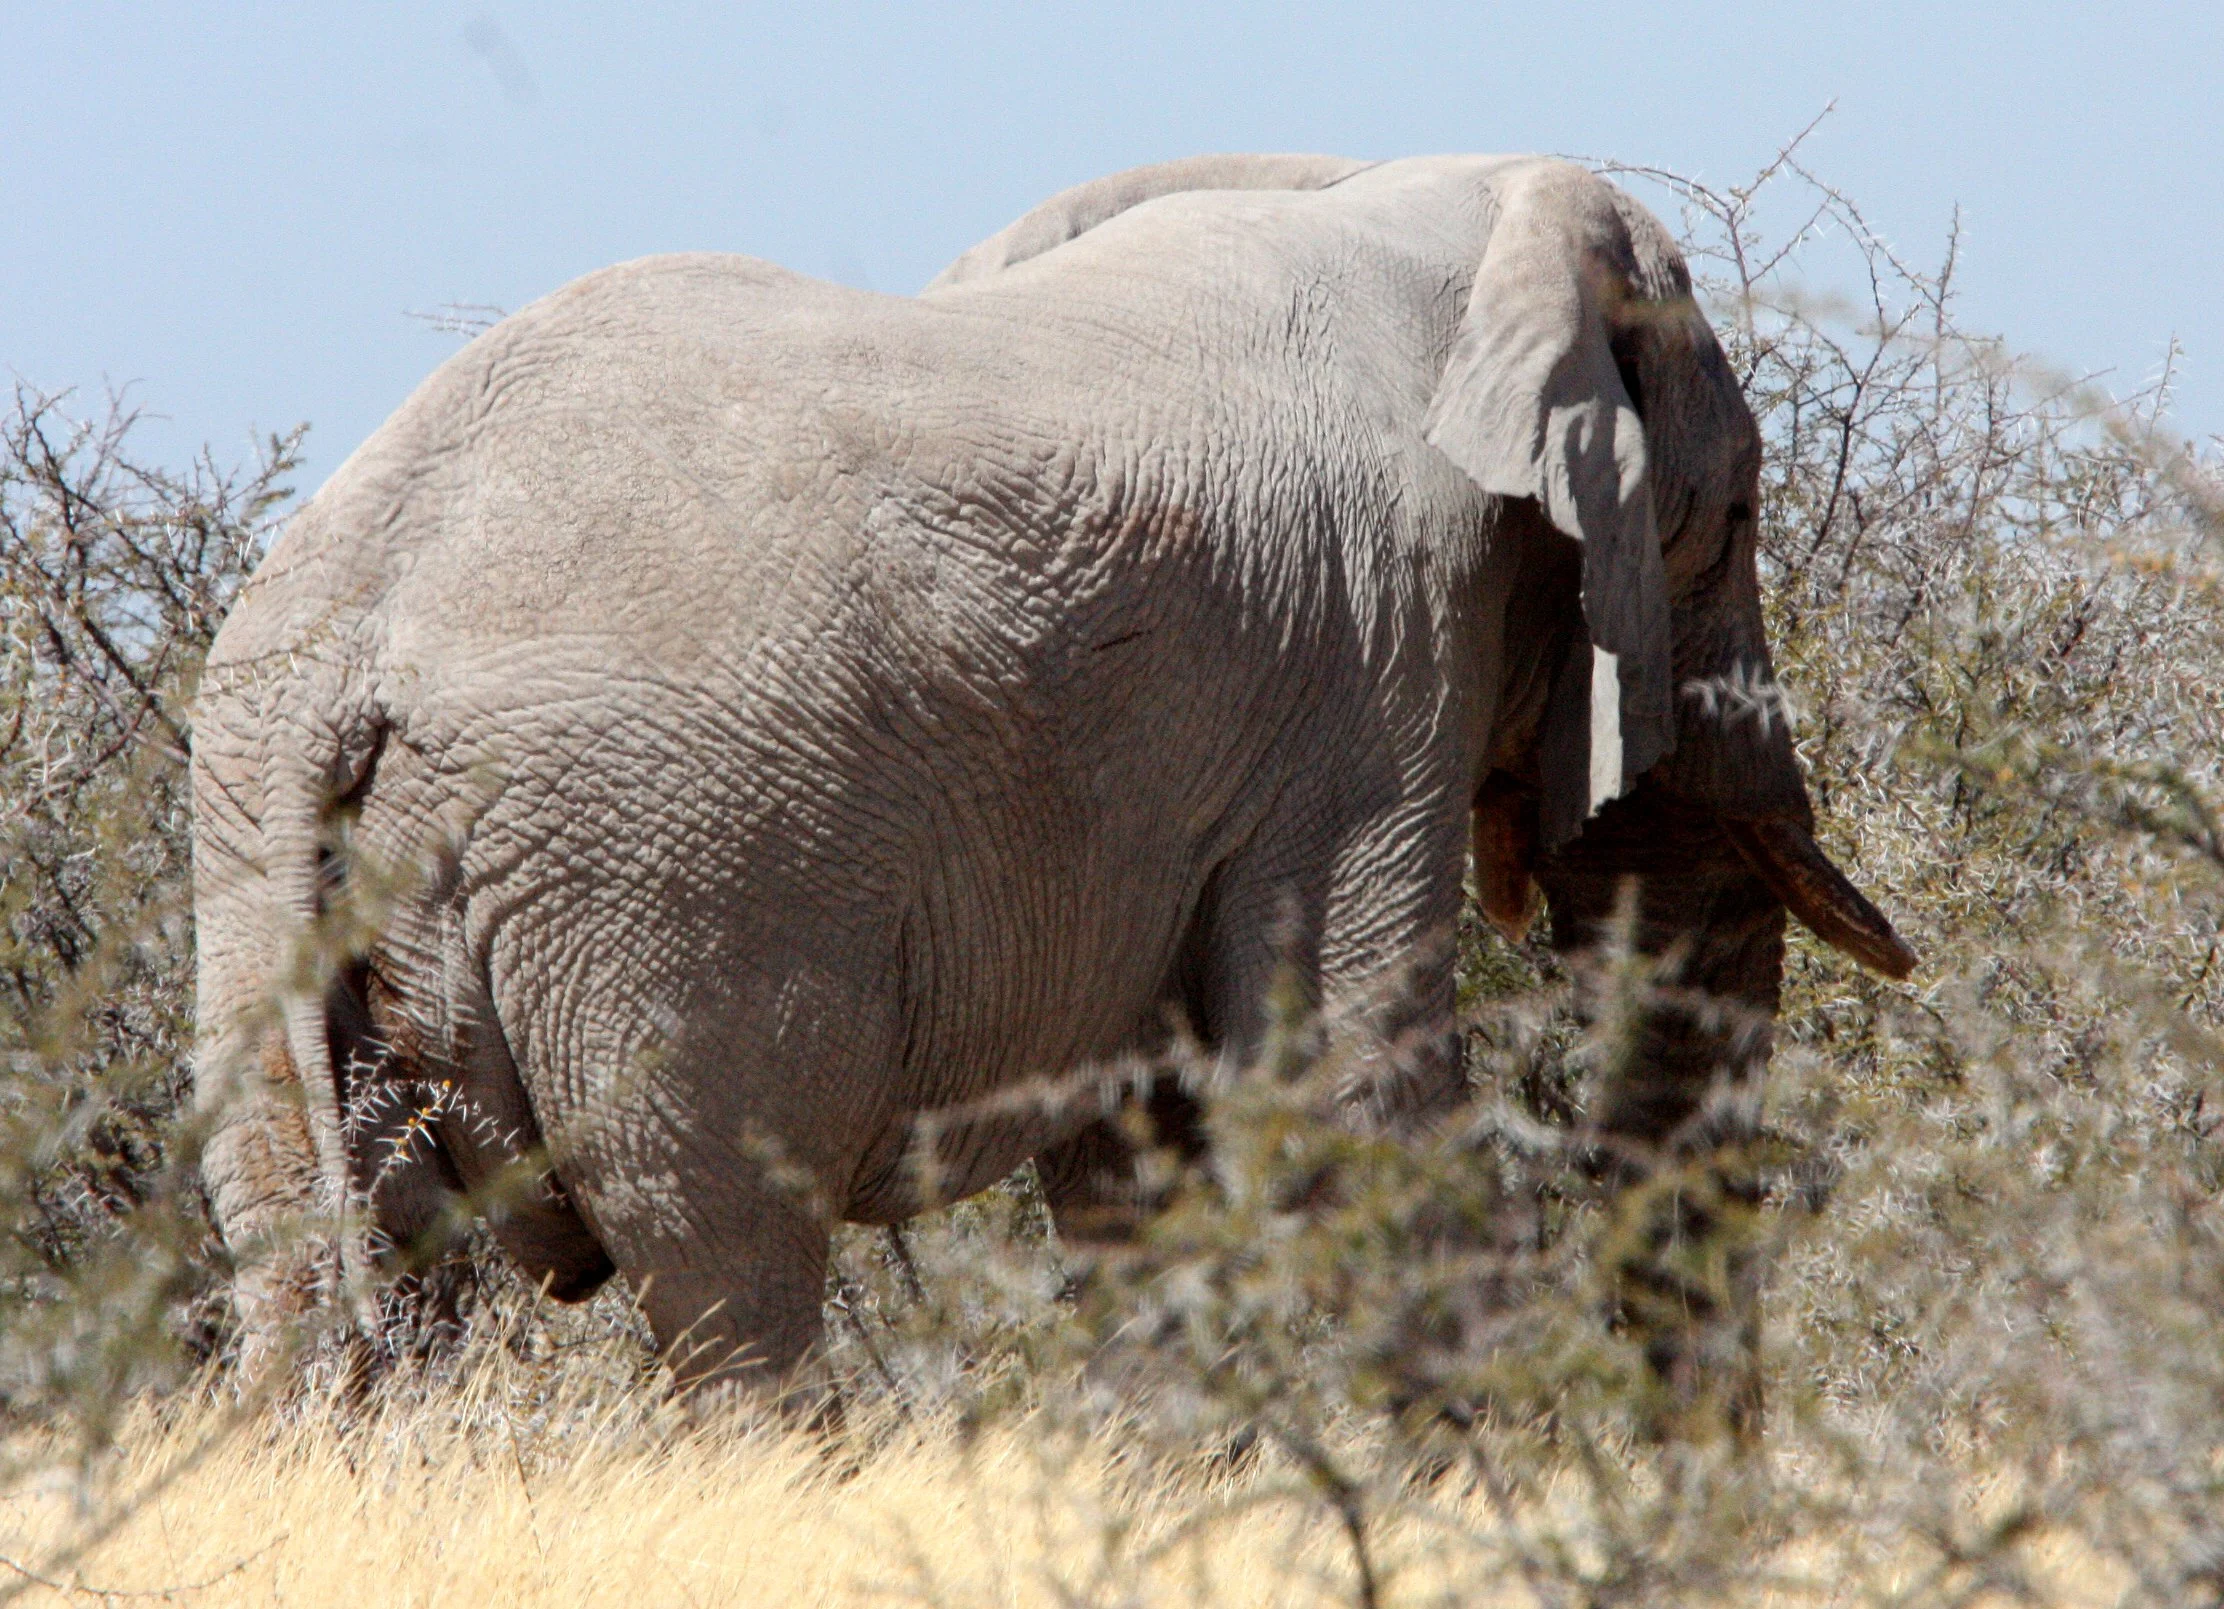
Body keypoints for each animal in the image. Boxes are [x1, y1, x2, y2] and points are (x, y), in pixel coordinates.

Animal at [189, 152, 1913, 1393]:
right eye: (1733, 523)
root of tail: (358, 613)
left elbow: (1136, 1156)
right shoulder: (1376, 655)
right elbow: (1350, 1085)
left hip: (249, 856)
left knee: (319, 1265)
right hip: (652, 874)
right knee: (724, 1258)